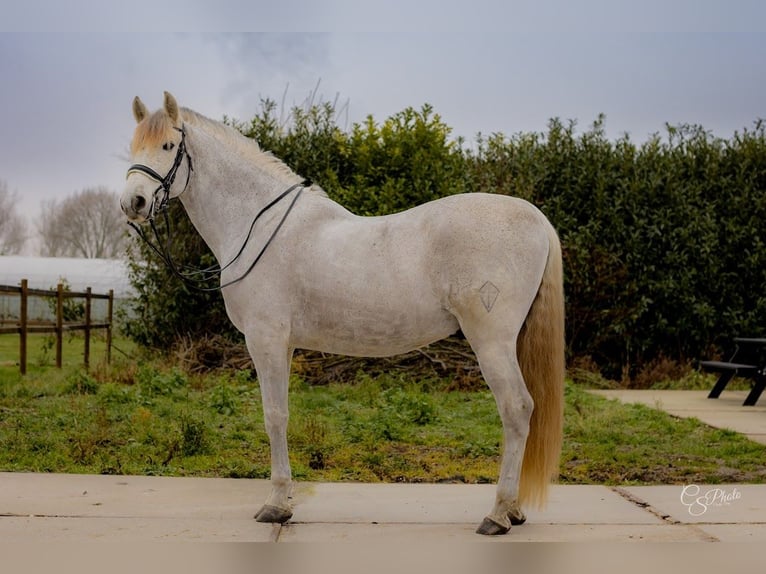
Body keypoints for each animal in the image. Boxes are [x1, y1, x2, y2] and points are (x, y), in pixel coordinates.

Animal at [120, 92, 564, 536]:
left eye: (168, 146)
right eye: (134, 146)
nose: (133, 203)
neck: (259, 226)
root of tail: (536, 217)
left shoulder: (265, 339)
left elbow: (274, 416)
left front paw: (276, 505)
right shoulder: (284, 344)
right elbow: (282, 413)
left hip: (491, 342)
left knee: (517, 409)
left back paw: (497, 514)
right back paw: (515, 510)